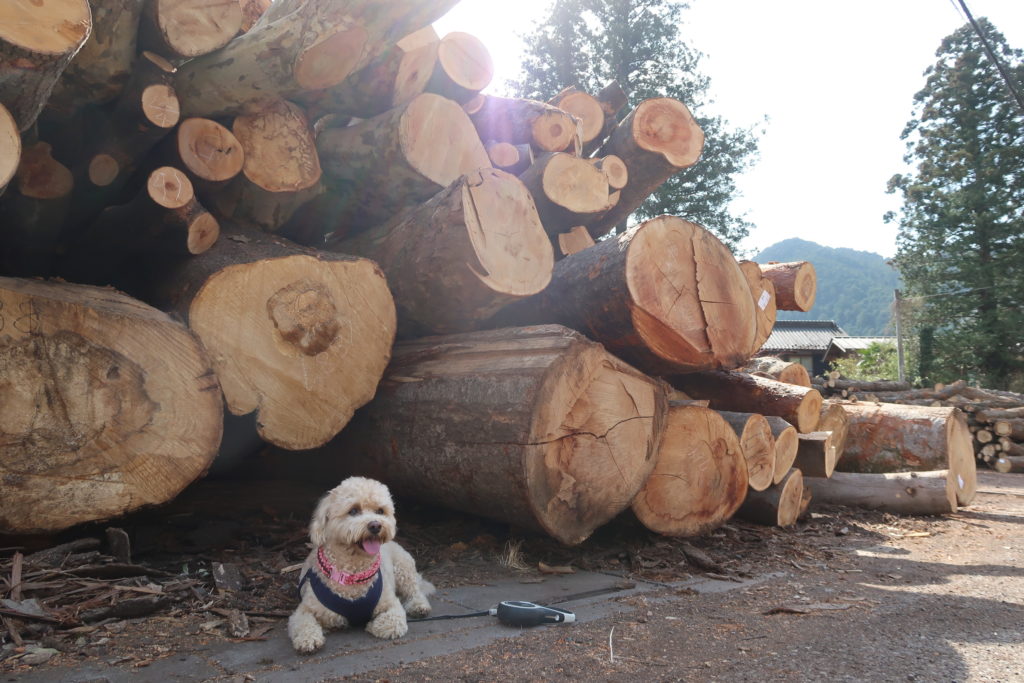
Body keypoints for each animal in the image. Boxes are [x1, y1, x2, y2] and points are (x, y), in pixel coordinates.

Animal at [287, 476, 434, 653]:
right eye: (353, 510)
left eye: (380, 511)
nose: (376, 525)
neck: (352, 573)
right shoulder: (305, 610)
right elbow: (303, 624)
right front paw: (309, 639)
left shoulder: (392, 605)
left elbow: (391, 624)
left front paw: (371, 625)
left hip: (403, 567)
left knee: (414, 591)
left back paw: (419, 606)